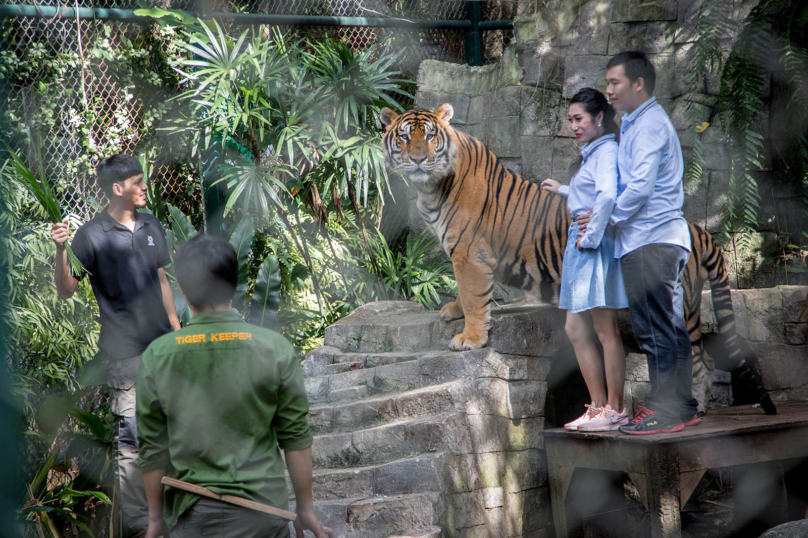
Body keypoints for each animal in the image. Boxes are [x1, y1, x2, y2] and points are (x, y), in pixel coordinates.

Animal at [378, 103, 776, 414]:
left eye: (430, 137)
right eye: (404, 138)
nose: (418, 159)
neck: (430, 188)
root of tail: (695, 228)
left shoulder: (470, 254)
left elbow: (476, 297)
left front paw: (470, 338)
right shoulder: (464, 256)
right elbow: (468, 293)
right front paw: (453, 310)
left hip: (680, 305)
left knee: (695, 358)